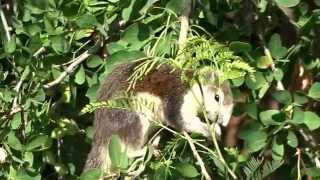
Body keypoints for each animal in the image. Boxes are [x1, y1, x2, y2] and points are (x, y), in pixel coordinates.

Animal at [82, 61, 232, 174]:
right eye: (217, 97)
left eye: (231, 109)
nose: (222, 121)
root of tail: (100, 136)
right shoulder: (176, 100)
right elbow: (184, 121)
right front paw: (212, 131)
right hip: (134, 115)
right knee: (129, 150)